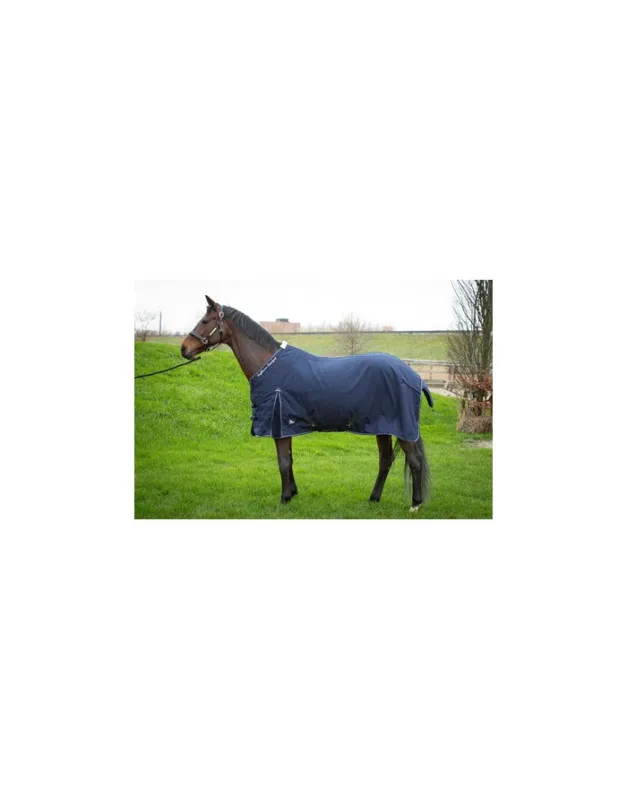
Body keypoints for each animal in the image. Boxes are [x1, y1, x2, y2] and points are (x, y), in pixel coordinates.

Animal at [180, 295, 434, 511]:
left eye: (205, 321)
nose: (184, 348)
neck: (268, 364)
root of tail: (413, 376)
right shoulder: (285, 425)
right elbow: (290, 459)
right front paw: (292, 493)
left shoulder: (279, 423)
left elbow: (283, 461)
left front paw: (284, 499)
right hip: (382, 427)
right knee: (385, 460)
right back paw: (374, 498)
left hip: (402, 428)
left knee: (415, 461)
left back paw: (415, 504)